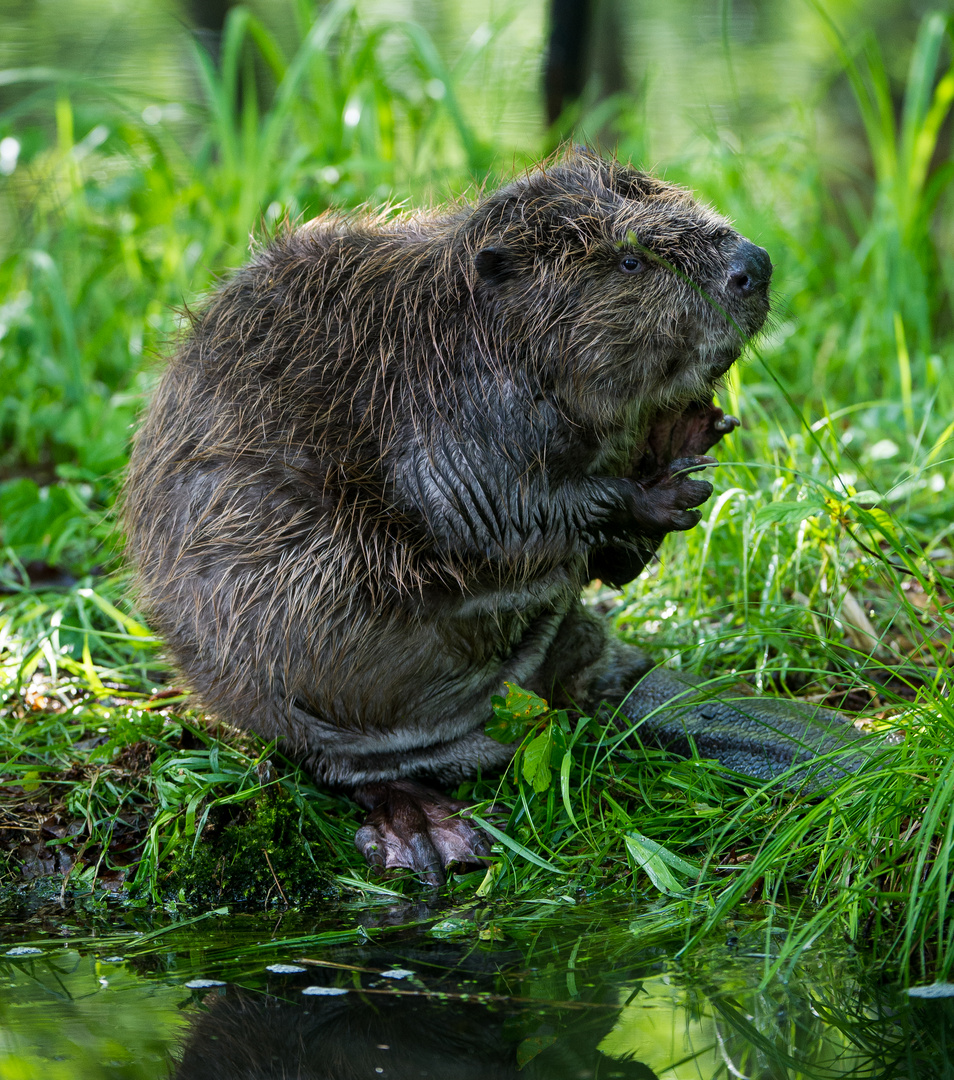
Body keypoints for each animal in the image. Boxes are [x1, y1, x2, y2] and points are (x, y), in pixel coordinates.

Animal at [123, 147, 868, 881]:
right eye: (630, 261)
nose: (754, 264)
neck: (468, 327)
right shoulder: (447, 410)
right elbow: (489, 512)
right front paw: (653, 487)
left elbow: (608, 562)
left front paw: (685, 434)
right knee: (349, 767)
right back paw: (428, 832)